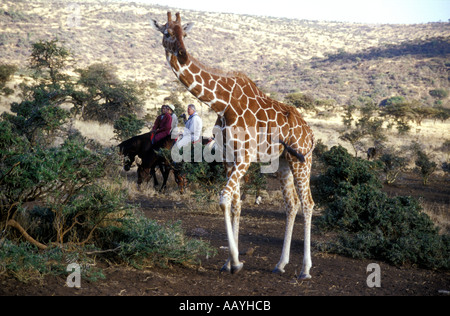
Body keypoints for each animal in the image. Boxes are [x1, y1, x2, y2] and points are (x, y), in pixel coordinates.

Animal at [151, 11, 316, 278]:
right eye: (167, 32)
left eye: (185, 33)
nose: (183, 53)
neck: (222, 103)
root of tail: (310, 133)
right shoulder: (228, 157)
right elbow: (236, 203)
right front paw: (230, 261)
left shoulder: (244, 156)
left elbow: (224, 199)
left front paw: (236, 262)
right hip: (282, 161)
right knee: (291, 204)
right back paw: (280, 264)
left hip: (302, 159)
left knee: (308, 203)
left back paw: (305, 269)